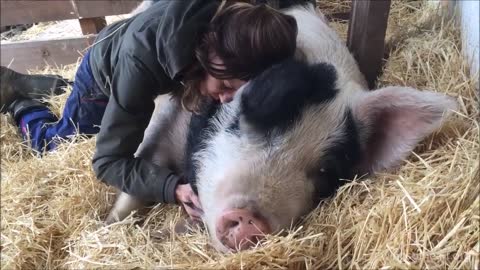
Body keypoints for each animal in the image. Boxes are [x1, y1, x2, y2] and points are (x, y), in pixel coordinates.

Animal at [106, 4, 458, 253]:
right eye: (242, 117)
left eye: (325, 171)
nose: (251, 219)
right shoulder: (164, 118)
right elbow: (136, 175)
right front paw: (104, 227)